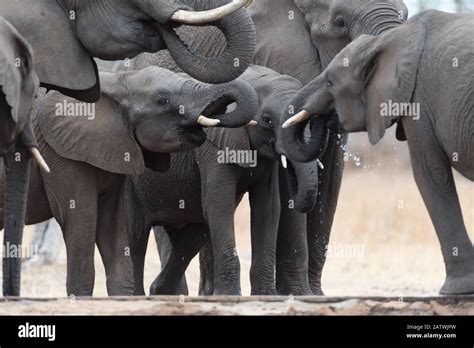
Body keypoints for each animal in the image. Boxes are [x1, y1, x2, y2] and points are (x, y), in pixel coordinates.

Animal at [126, 64, 318, 294]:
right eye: (267, 120)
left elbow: (268, 209)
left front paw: (266, 296)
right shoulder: (213, 148)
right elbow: (220, 205)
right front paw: (230, 295)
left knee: (190, 239)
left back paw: (159, 291)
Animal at [282, 10, 474, 294]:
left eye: (330, 81)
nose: (323, 118)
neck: (386, 40)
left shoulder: (418, 100)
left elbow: (429, 174)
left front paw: (456, 290)